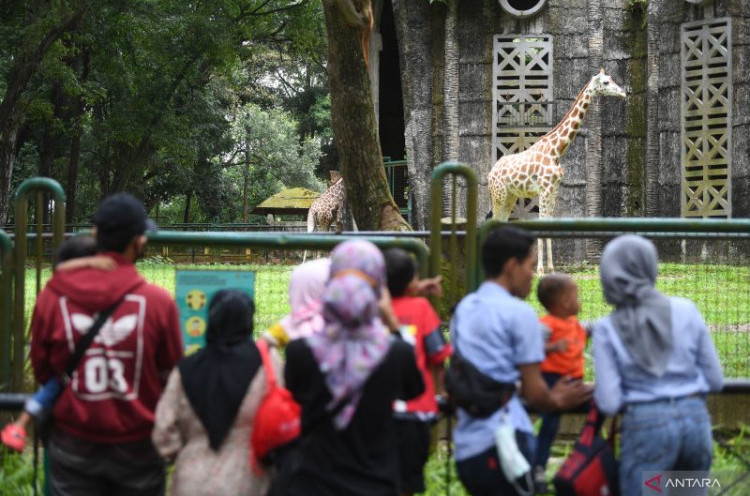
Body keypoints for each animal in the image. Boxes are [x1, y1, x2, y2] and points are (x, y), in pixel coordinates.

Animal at [488, 68, 628, 274]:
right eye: (605, 82)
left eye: (611, 79)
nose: (623, 93)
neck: (556, 150)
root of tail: (490, 173)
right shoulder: (544, 189)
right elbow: (541, 223)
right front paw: (539, 270)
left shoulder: (554, 190)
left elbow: (550, 224)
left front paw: (551, 269)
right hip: (499, 194)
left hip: (511, 196)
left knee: (501, 222)